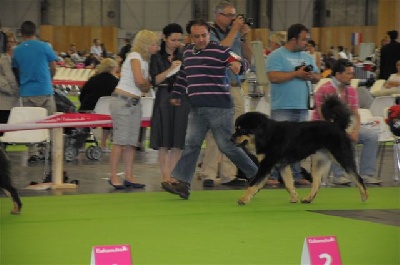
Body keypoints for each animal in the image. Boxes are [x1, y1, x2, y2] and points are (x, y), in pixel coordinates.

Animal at [231, 95, 368, 204]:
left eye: (242, 130)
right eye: (236, 128)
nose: (231, 139)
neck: (266, 135)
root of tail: (338, 125)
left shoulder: (267, 165)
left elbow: (253, 183)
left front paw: (243, 199)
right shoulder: (282, 165)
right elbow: (288, 184)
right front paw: (294, 197)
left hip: (342, 157)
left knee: (357, 177)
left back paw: (364, 196)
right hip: (318, 162)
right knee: (317, 183)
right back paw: (308, 198)